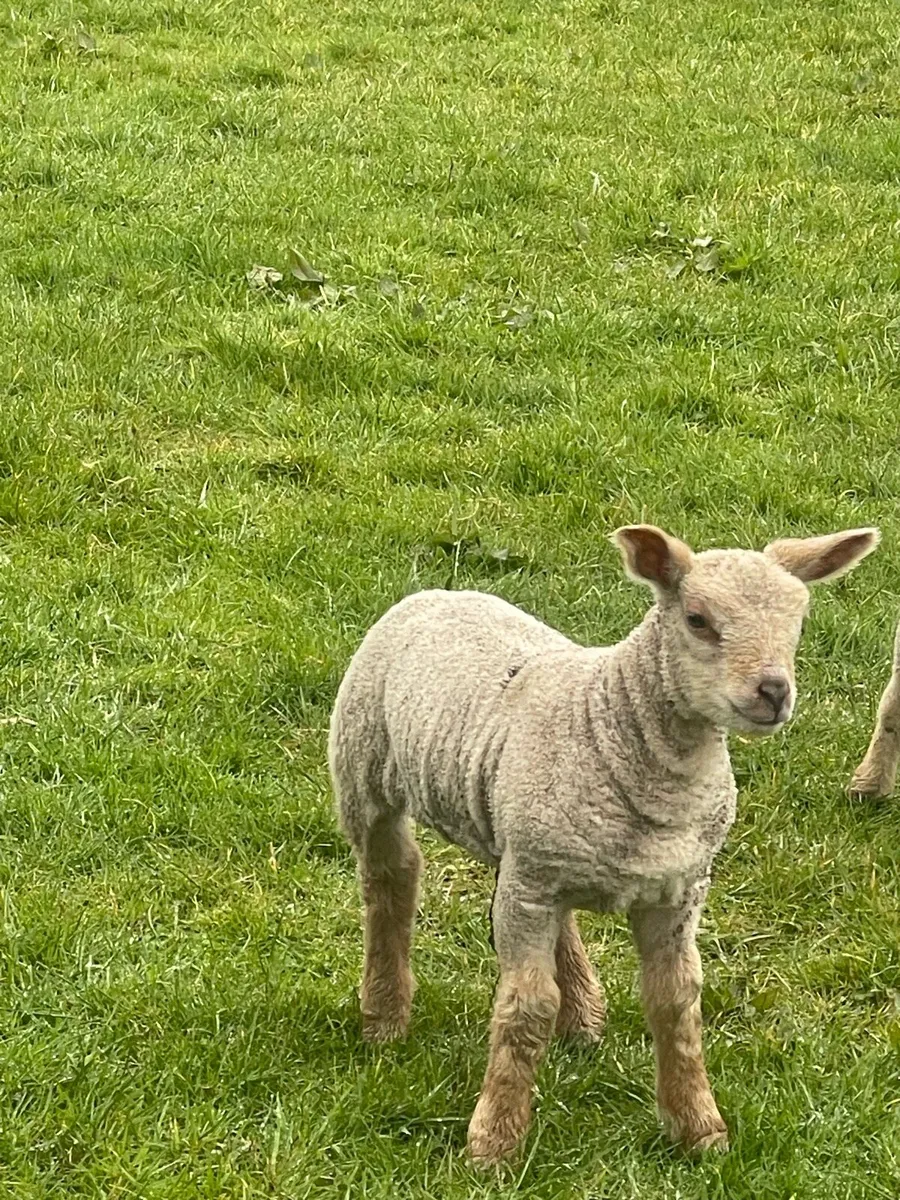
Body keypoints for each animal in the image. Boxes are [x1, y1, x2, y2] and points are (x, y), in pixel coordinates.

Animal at [329, 524, 878, 1165]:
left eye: (799, 619)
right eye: (697, 619)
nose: (773, 692)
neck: (614, 721)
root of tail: (439, 592)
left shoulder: (677, 891)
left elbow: (676, 1001)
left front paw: (699, 1129)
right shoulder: (533, 885)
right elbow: (526, 1008)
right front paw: (495, 1143)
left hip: (521, 834)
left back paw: (583, 1014)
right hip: (365, 769)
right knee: (390, 882)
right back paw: (384, 1017)